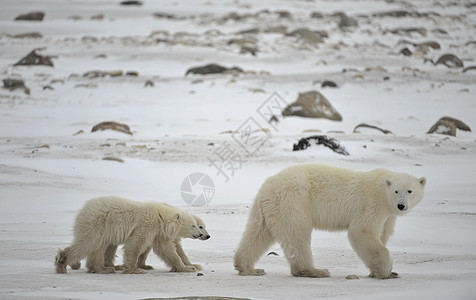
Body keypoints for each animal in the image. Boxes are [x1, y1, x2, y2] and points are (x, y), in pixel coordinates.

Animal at [55, 197, 205, 274]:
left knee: (98, 247)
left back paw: (103, 268)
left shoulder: (158, 233)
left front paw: (188, 267)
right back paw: (62, 262)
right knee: (88, 242)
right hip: (97, 223)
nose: (201, 234)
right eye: (194, 225)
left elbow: (167, 250)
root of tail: (83, 209)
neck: (159, 216)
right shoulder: (146, 224)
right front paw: (135, 269)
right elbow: (135, 244)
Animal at [235, 164, 428, 278]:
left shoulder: (388, 216)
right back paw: (315, 270)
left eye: (410, 191)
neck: (382, 190)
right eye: (397, 191)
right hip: (293, 201)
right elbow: (362, 231)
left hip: (268, 208)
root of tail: (267, 186)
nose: (401, 205)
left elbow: (382, 235)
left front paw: (380, 271)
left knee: (257, 233)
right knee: (297, 235)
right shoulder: (371, 204)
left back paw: (248, 268)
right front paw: (385, 271)